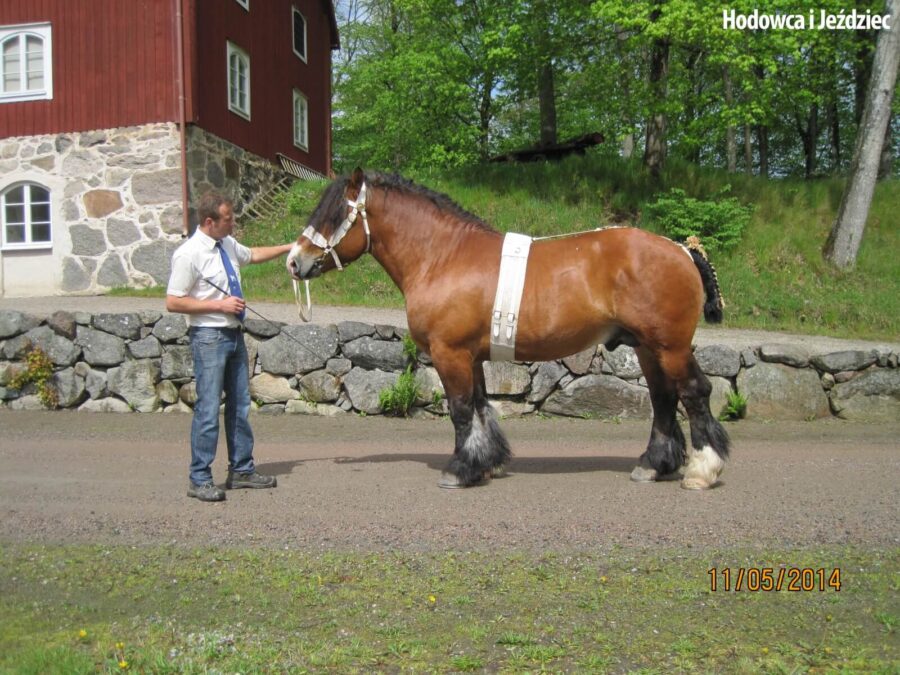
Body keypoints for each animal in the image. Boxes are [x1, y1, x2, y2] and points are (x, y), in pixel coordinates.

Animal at [288, 169, 732, 492]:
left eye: (333, 214)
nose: (294, 261)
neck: (444, 257)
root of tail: (682, 249)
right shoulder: (471, 356)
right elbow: (481, 407)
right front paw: (485, 463)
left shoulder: (450, 353)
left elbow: (461, 410)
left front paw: (459, 469)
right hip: (646, 347)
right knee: (663, 398)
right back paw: (654, 465)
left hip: (669, 346)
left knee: (694, 393)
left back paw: (702, 469)